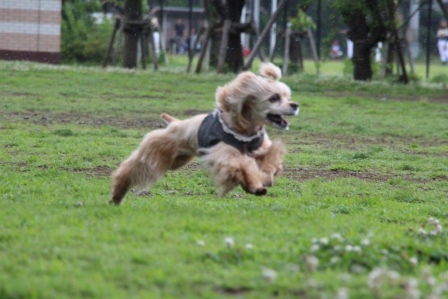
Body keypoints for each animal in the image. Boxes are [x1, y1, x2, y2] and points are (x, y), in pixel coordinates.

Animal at [110, 63, 300, 206]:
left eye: (287, 96)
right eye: (274, 97)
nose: (295, 105)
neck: (243, 129)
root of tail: (174, 122)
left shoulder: (261, 148)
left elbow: (269, 161)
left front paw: (267, 177)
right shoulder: (226, 155)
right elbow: (244, 167)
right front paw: (255, 186)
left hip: (178, 160)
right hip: (156, 152)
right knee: (130, 169)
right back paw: (116, 196)